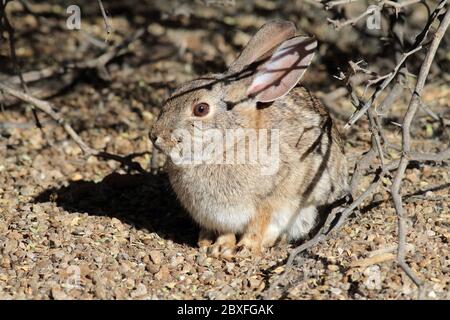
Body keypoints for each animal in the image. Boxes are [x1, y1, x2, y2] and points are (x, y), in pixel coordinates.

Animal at [150, 20, 348, 258]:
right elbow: (225, 232)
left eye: (201, 109)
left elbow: (258, 225)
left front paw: (245, 248)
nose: (154, 136)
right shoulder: (219, 217)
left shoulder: (269, 201)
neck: (230, 142)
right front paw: (220, 248)